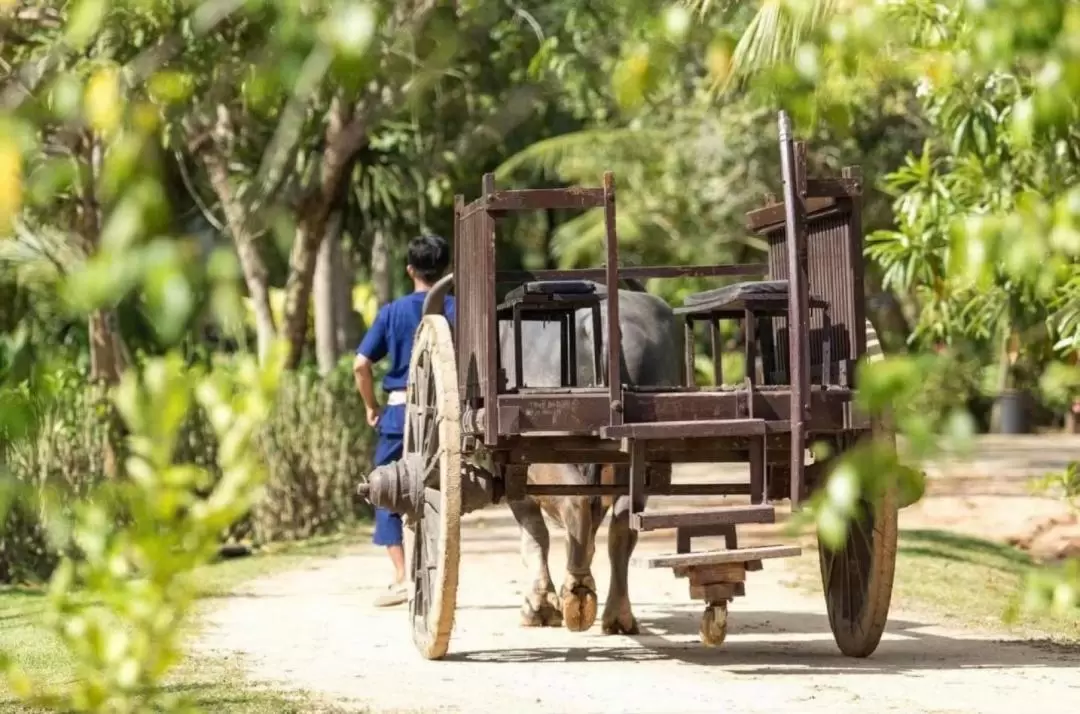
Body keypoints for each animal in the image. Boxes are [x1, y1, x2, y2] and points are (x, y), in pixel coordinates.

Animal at [494, 280, 678, 630]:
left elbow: (534, 536)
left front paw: (538, 607)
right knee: (622, 527)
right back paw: (616, 614)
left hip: (547, 451)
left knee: (575, 505)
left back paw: (576, 593)